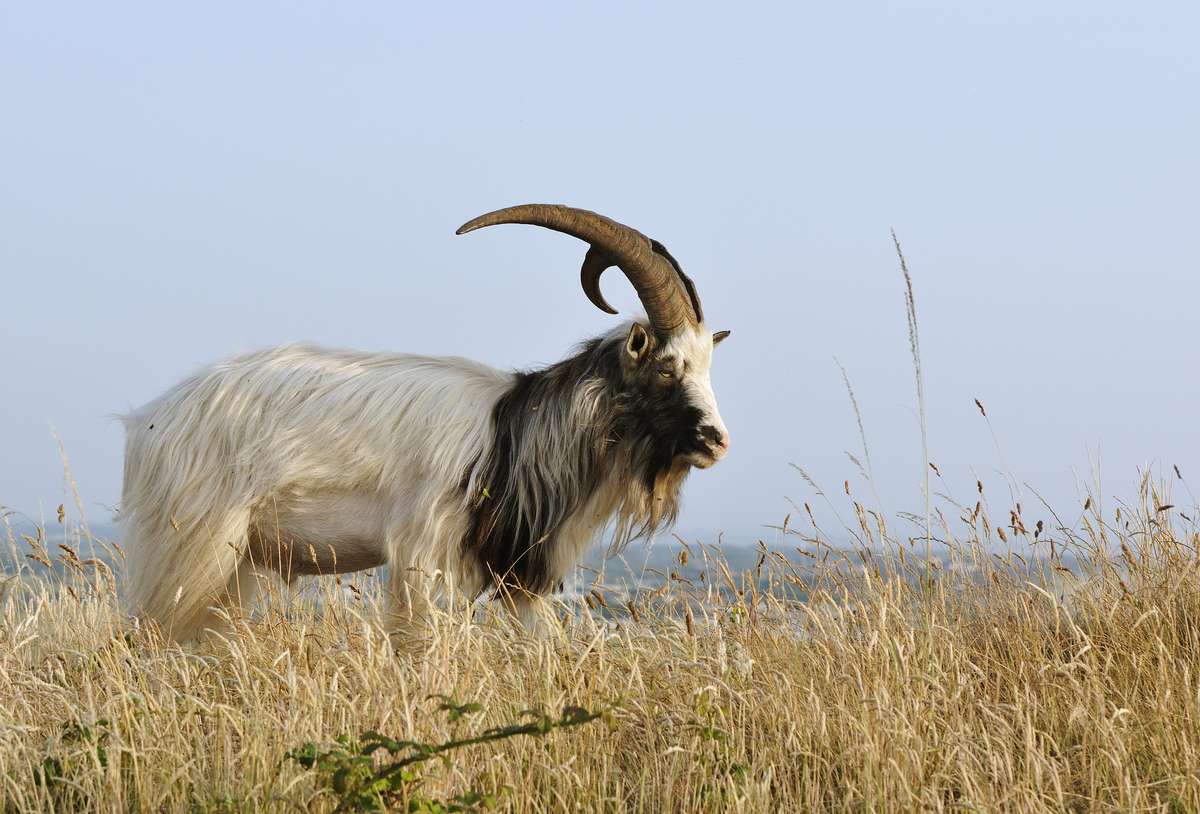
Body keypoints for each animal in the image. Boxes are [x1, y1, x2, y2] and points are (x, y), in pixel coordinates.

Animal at [126, 204, 734, 638]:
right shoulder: (426, 559)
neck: (513, 433)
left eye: (708, 365)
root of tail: (154, 418)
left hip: (238, 564)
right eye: (666, 367)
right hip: (191, 548)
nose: (716, 442)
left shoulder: (518, 577)